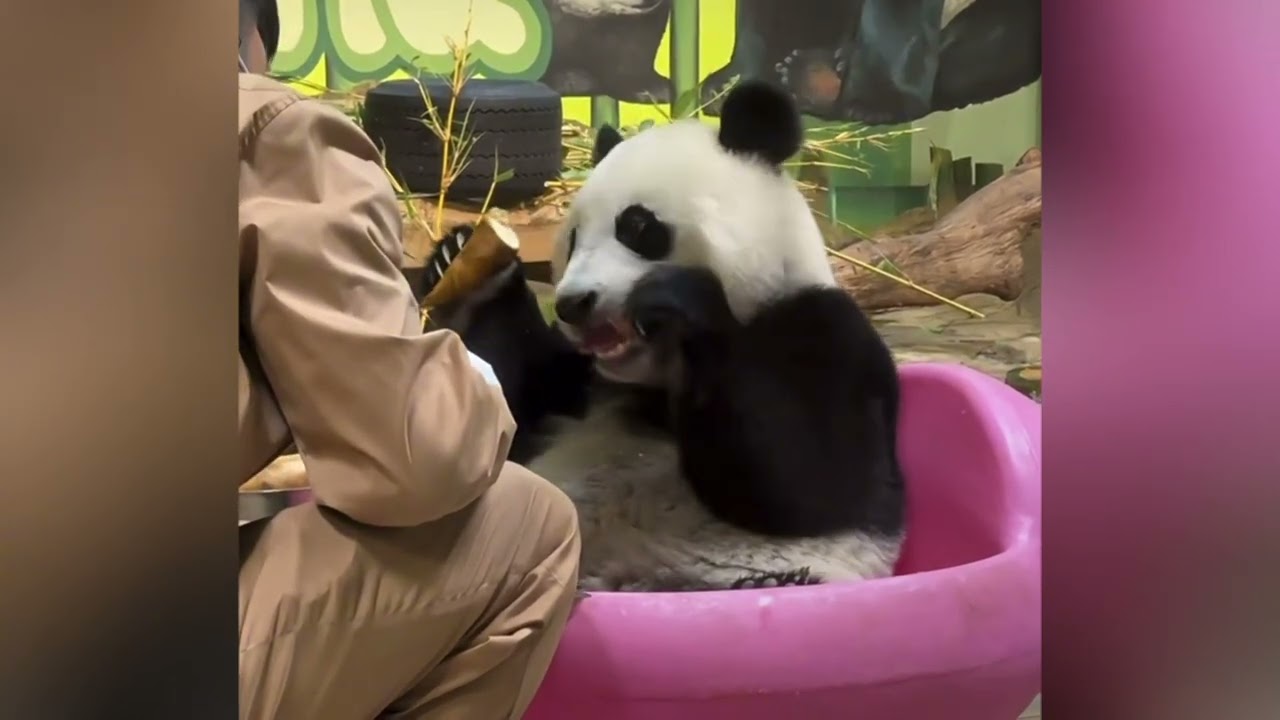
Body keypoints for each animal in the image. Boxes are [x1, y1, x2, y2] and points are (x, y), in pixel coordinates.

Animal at [422, 81, 906, 592]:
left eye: (637, 227)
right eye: (572, 238)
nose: (573, 303)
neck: (656, 376)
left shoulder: (826, 333)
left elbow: (810, 481)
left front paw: (676, 295)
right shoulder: (581, 380)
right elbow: (509, 416)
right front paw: (462, 259)